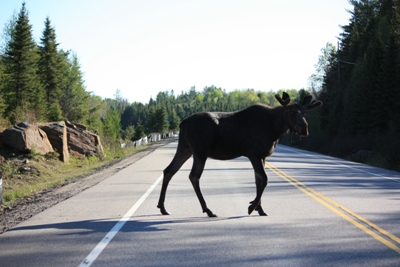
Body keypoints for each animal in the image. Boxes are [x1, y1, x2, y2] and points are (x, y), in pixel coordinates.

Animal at [156, 92, 322, 218]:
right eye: (291, 111)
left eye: (305, 113)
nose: (305, 129)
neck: (276, 129)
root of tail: (181, 124)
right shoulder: (253, 153)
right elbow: (264, 179)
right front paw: (252, 207)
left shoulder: (262, 156)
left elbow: (258, 181)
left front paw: (260, 209)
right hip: (200, 151)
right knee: (193, 176)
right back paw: (208, 210)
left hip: (185, 148)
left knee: (169, 170)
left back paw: (162, 207)